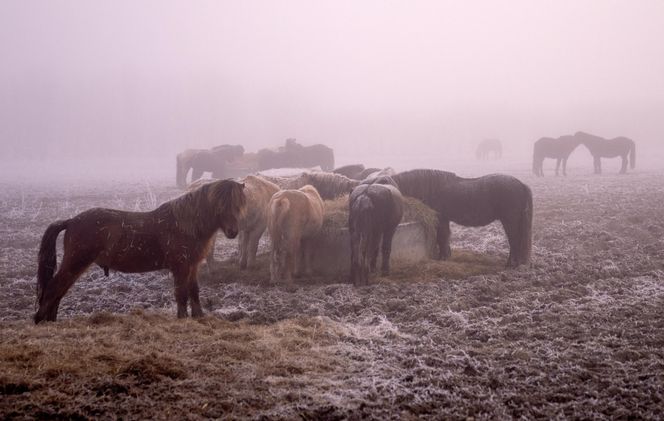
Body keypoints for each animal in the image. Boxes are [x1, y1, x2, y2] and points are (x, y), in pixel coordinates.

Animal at [34, 179, 246, 324]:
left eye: (238, 205)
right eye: (220, 205)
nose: (233, 232)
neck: (186, 225)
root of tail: (71, 221)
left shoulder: (193, 266)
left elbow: (194, 291)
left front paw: (198, 316)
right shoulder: (180, 267)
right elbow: (181, 294)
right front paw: (182, 318)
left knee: (58, 291)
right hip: (75, 263)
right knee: (53, 289)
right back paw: (41, 321)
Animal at [392, 167, 532, 266]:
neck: (431, 188)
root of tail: (521, 184)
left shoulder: (441, 219)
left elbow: (442, 237)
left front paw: (442, 257)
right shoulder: (444, 220)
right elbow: (445, 237)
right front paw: (446, 256)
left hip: (510, 221)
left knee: (514, 240)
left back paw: (511, 263)